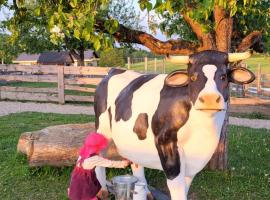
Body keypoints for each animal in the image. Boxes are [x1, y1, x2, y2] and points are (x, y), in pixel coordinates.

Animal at [94, 49, 254, 198]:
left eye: (223, 77)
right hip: (101, 129)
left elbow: (185, 185)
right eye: (193, 77)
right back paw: (102, 191)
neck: (203, 131)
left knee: (136, 162)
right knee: (97, 156)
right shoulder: (166, 142)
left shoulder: (195, 158)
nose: (209, 98)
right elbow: (176, 187)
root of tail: (114, 70)